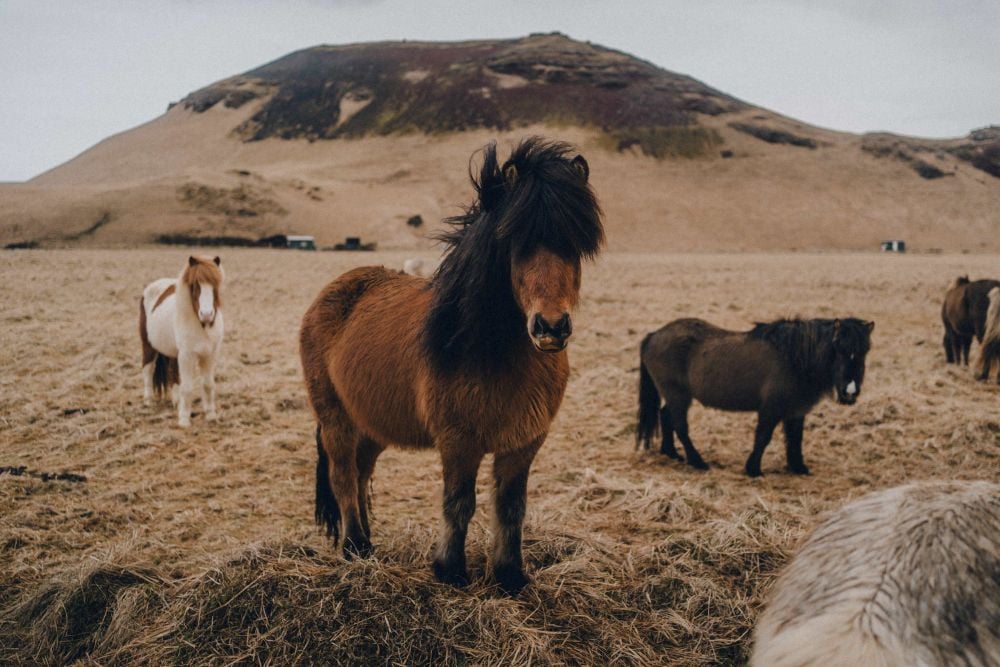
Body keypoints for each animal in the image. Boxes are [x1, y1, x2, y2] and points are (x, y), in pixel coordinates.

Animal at [139, 255, 225, 427]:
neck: (202, 325)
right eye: (196, 285)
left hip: (173, 352)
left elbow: (208, 384)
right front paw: (184, 420)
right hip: (148, 345)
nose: (207, 314)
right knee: (148, 369)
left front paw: (211, 416)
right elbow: (188, 386)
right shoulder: (187, 356)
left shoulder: (210, 355)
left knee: (173, 372)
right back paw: (148, 401)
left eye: (215, 284)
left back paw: (175, 401)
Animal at [299, 138, 603, 593]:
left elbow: (511, 507)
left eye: (575, 242)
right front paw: (450, 570)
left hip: (371, 423)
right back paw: (356, 546)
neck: (494, 355)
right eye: (517, 242)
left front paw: (510, 575)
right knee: (342, 476)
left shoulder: (523, 443)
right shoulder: (459, 442)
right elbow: (459, 504)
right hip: (335, 417)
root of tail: (334, 290)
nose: (550, 327)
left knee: (362, 471)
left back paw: (368, 541)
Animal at [637, 317, 873, 477]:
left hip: (675, 396)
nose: (850, 392)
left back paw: (671, 453)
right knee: (680, 425)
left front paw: (798, 467)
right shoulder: (770, 409)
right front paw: (753, 469)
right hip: (677, 395)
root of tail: (654, 335)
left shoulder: (796, 410)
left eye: (865, 352)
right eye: (838, 348)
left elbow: (795, 439)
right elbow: (763, 437)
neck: (795, 358)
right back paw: (697, 461)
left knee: (665, 416)